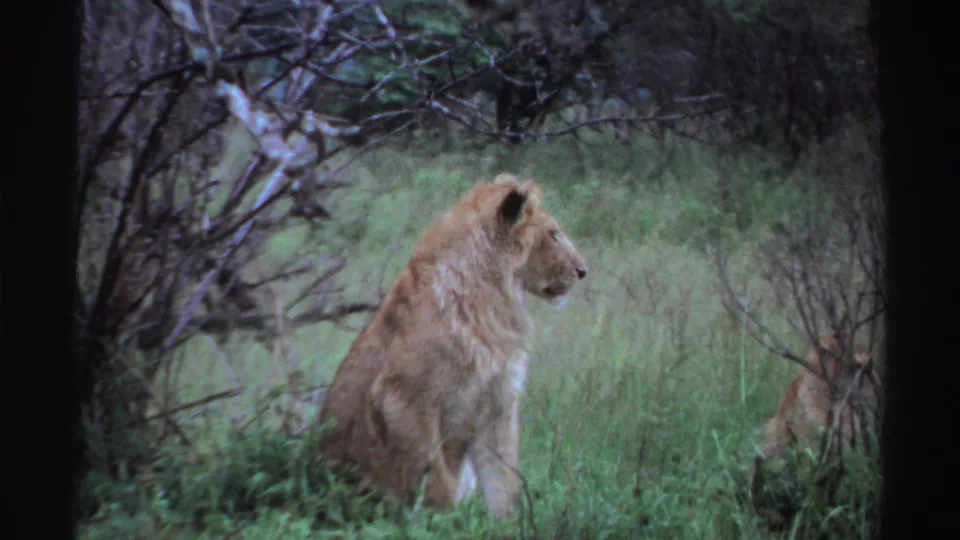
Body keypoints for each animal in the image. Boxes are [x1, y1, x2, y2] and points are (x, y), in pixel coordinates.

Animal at [317, 173, 588, 519]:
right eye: (553, 235)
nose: (583, 271)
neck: (492, 298)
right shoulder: (404, 401)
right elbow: (436, 482)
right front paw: (446, 521)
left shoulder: (500, 400)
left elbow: (502, 479)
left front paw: (503, 524)